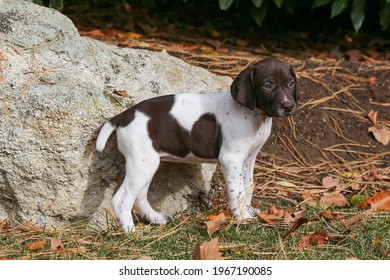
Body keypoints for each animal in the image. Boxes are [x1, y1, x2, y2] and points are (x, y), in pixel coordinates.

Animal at [96, 57, 300, 232]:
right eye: (268, 86)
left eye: (291, 83)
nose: (289, 106)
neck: (255, 116)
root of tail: (124, 115)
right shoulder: (231, 159)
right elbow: (238, 191)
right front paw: (243, 217)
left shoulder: (249, 159)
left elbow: (248, 187)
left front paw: (248, 211)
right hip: (142, 163)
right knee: (122, 199)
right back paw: (130, 231)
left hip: (147, 163)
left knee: (139, 197)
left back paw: (156, 218)